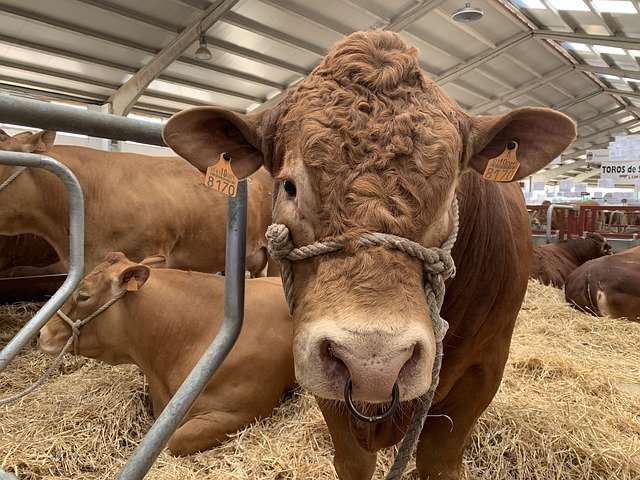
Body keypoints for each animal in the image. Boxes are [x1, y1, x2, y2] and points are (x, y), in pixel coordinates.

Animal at [160, 31, 576, 478]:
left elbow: (439, 461)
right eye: (289, 186)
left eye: (452, 191)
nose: (372, 362)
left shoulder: (483, 370)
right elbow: (353, 459)